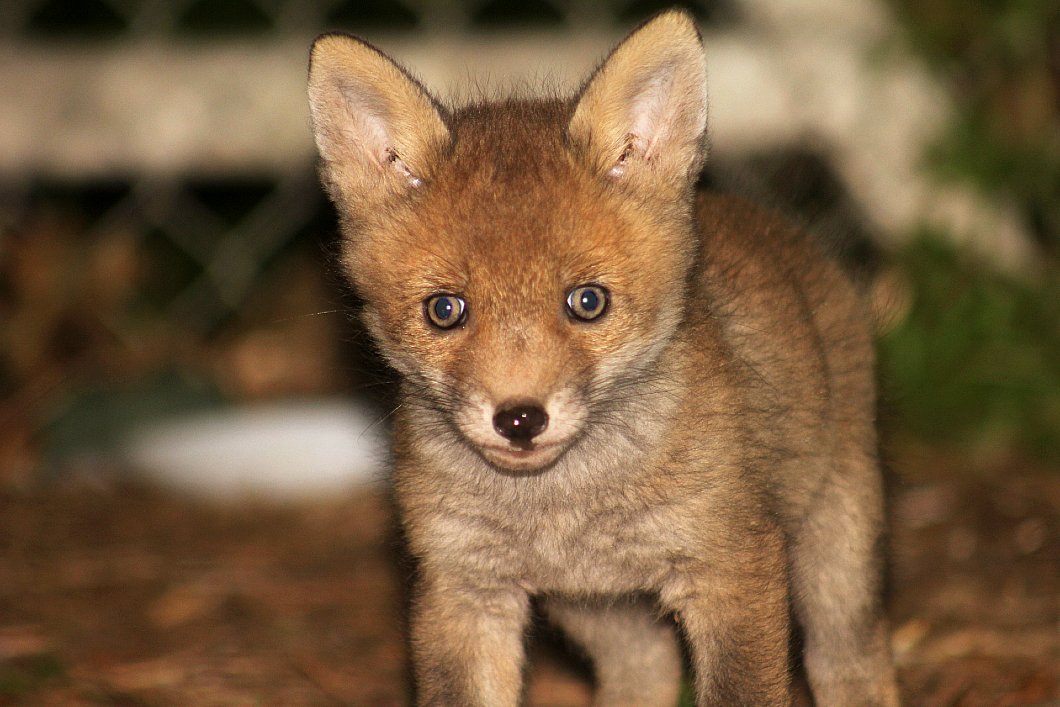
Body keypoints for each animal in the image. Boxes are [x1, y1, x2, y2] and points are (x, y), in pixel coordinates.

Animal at [307, 9, 900, 707]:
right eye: (444, 310)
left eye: (587, 302)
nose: (519, 419)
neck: (565, 511)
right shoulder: (462, 588)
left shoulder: (732, 565)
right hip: (600, 613)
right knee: (645, 672)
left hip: (835, 554)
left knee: (850, 658)